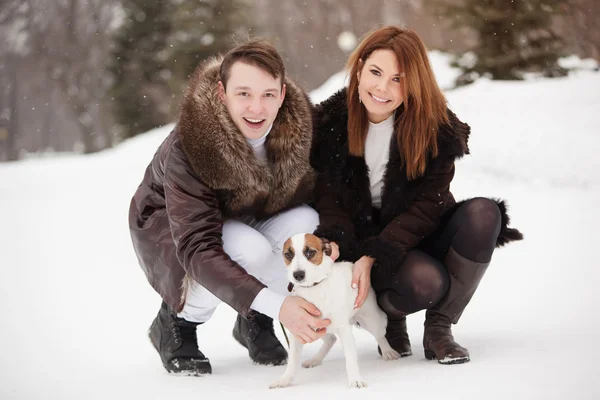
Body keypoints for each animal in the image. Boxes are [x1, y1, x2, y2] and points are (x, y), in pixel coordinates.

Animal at [270, 233, 400, 390]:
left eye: (310, 252)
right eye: (288, 254)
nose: (298, 274)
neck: (314, 289)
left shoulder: (344, 330)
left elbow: (350, 358)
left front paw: (355, 380)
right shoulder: (298, 331)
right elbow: (292, 362)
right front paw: (284, 380)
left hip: (371, 320)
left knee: (380, 336)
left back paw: (388, 351)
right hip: (317, 329)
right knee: (331, 339)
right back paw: (316, 359)